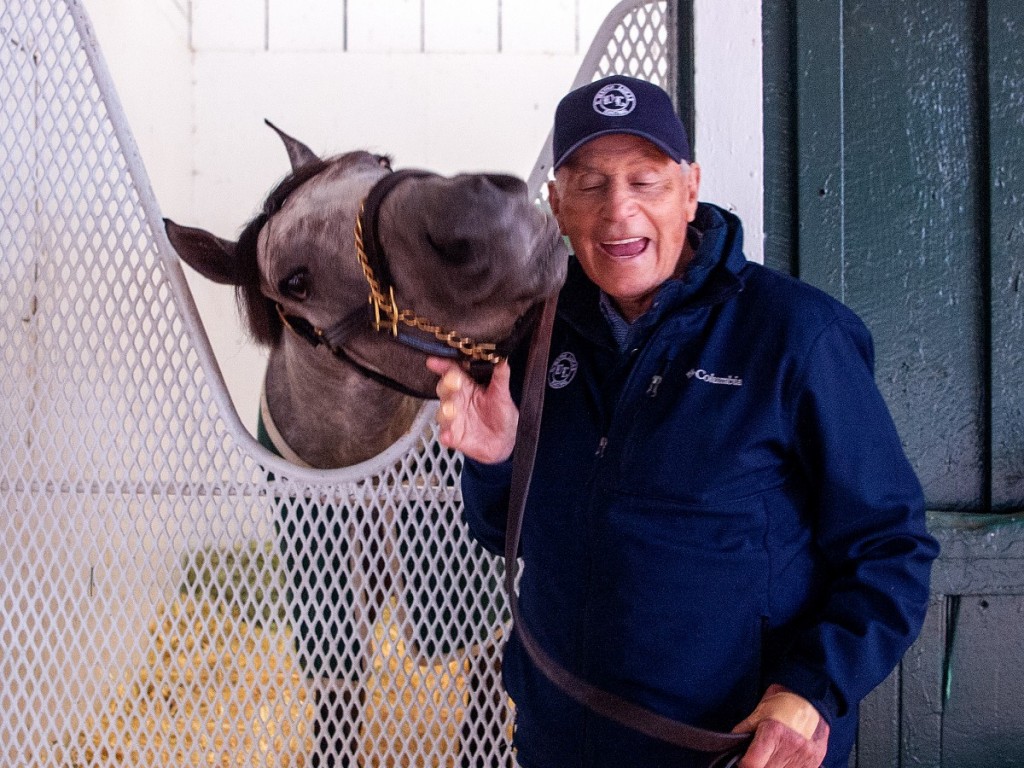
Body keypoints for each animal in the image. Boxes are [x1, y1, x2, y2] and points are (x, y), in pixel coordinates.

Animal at [164, 123, 573, 765]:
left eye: (378, 160)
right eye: (295, 281)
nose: (489, 218)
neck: (365, 465)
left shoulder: (479, 605)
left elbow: (486, 710)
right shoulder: (329, 599)